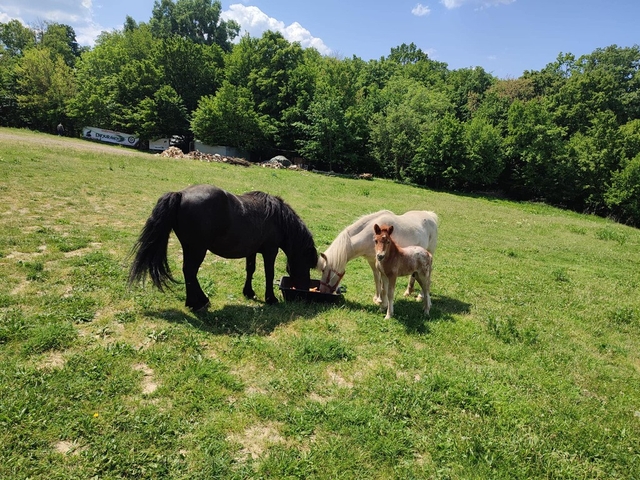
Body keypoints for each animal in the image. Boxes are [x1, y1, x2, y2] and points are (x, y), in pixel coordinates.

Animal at [129, 184, 318, 312]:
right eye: (307, 265)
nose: (304, 292)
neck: (278, 219)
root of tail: (181, 194)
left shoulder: (252, 251)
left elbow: (251, 270)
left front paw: (248, 292)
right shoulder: (270, 251)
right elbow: (269, 273)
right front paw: (270, 298)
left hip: (190, 248)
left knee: (188, 272)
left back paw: (196, 302)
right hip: (198, 249)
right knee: (190, 271)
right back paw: (198, 303)